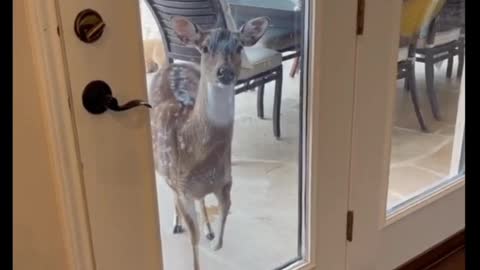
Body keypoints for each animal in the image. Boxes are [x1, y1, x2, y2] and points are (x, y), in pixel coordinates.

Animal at [148, 15, 270, 268]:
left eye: (239, 46)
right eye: (204, 48)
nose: (225, 72)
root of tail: (172, 64)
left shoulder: (226, 180)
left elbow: (224, 216)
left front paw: (215, 239)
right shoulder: (181, 187)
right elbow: (193, 240)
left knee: (201, 199)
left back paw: (209, 230)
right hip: (164, 169)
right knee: (172, 192)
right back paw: (176, 224)